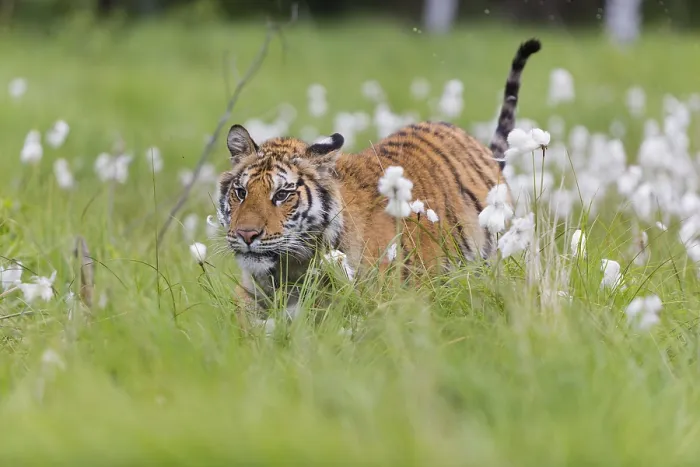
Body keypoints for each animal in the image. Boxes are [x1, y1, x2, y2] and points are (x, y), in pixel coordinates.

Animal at [217, 38, 542, 317]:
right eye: (241, 192)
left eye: (282, 195)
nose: (246, 235)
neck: (291, 268)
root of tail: (479, 146)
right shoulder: (252, 295)